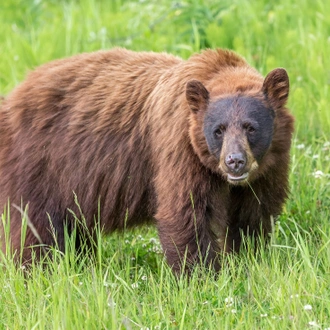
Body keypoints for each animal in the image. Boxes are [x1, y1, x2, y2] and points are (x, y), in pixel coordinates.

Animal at [0, 47, 294, 272]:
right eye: (218, 130)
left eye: (250, 127)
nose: (235, 161)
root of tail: (12, 98)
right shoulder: (180, 150)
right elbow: (186, 212)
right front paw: (201, 276)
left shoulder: (269, 168)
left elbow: (252, 214)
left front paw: (249, 260)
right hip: (40, 166)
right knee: (35, 229)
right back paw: (38, 271)